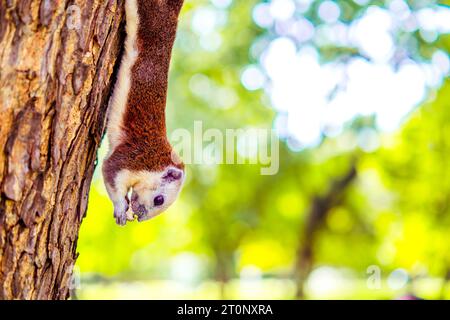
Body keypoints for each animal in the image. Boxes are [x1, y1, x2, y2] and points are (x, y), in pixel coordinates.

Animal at [103, 0, 185, 226]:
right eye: (159, 200)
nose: (140, 217)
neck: (156, 162)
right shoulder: (132, 158)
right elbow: (110, 172)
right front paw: (120, 209)